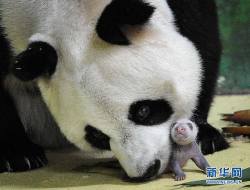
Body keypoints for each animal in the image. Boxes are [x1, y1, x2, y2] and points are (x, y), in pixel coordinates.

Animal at [0, 0, 229, 181]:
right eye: (97, 135)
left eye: (143, 110)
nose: (146, 170)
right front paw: (19, 154)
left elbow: (201, 36)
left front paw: (203, 135)